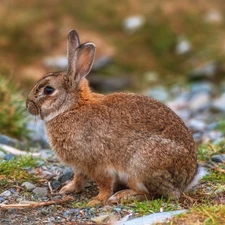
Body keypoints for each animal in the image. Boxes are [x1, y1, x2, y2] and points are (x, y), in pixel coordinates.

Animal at [25, 29, 204, 206]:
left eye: (48, 90)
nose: (28, 105)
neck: (71, 108)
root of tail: (187, 179)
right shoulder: (80, 166)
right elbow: (79, 178)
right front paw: (68, 189)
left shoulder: (97, 163)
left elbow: (104, 183)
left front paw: (97, 200)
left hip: (140, 166)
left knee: (155, 193)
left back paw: (122, 196)